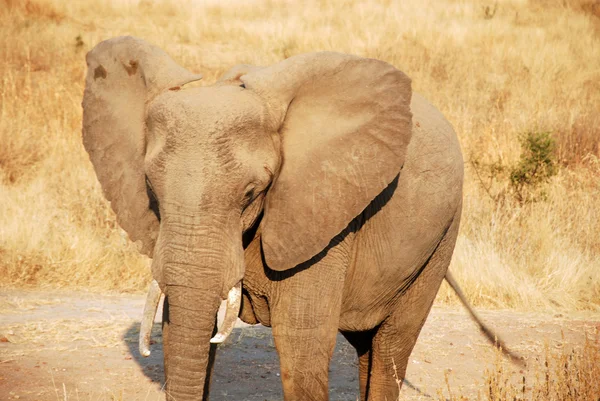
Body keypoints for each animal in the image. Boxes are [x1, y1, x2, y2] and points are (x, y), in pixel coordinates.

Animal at [81, 36, 520, 398]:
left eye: (251, 193)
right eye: (151, 189)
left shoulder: (324, 216)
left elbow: (301, 348)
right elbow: (183, 330)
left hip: (443, 235)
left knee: (391, 345)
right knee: (367, 347)